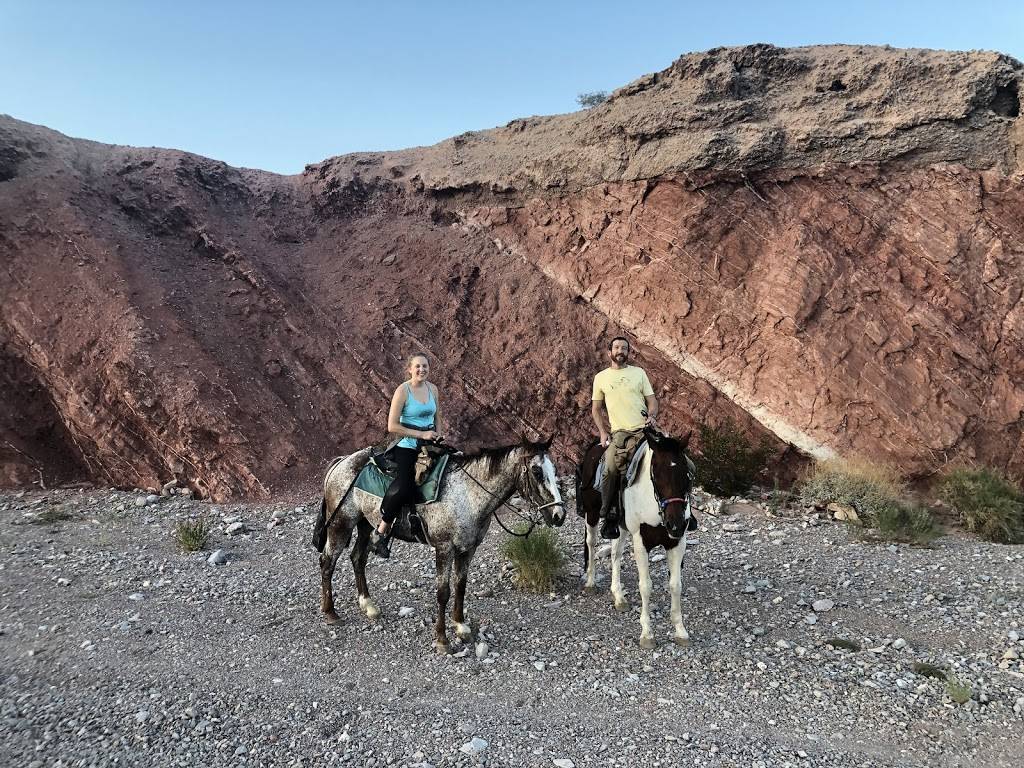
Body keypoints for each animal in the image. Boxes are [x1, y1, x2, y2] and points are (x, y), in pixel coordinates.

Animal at [577, 430, 696, 651]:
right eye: (656, 475)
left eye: (687, 474)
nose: (675, 523)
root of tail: (596, 446)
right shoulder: (641, 543)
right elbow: (645, 586)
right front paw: (647, 634)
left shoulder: (677, 543)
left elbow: (675, 585)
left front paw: (680, 631)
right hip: (592, 514)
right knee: (591, 543)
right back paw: (590, 582)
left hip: (621, 526)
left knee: (615, 553)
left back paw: (618, 597)